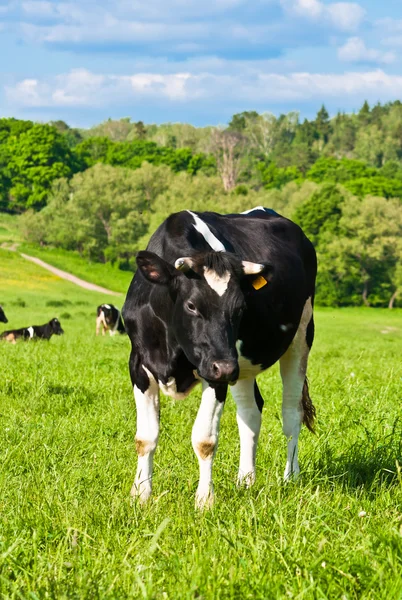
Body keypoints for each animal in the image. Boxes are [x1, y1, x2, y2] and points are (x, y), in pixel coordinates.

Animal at [122, 206, 318, 506]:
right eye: (192, 305)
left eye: (240, 308)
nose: (226, 368)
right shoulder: (139, 365)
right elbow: (145, 437)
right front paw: (141, 494)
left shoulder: (214, 372)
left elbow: (204, 439)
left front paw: (204, 500)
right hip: (241, 365)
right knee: (250, 412)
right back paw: (246, 481)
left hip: (300, 336)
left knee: (292, 412)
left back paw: (290, 478)